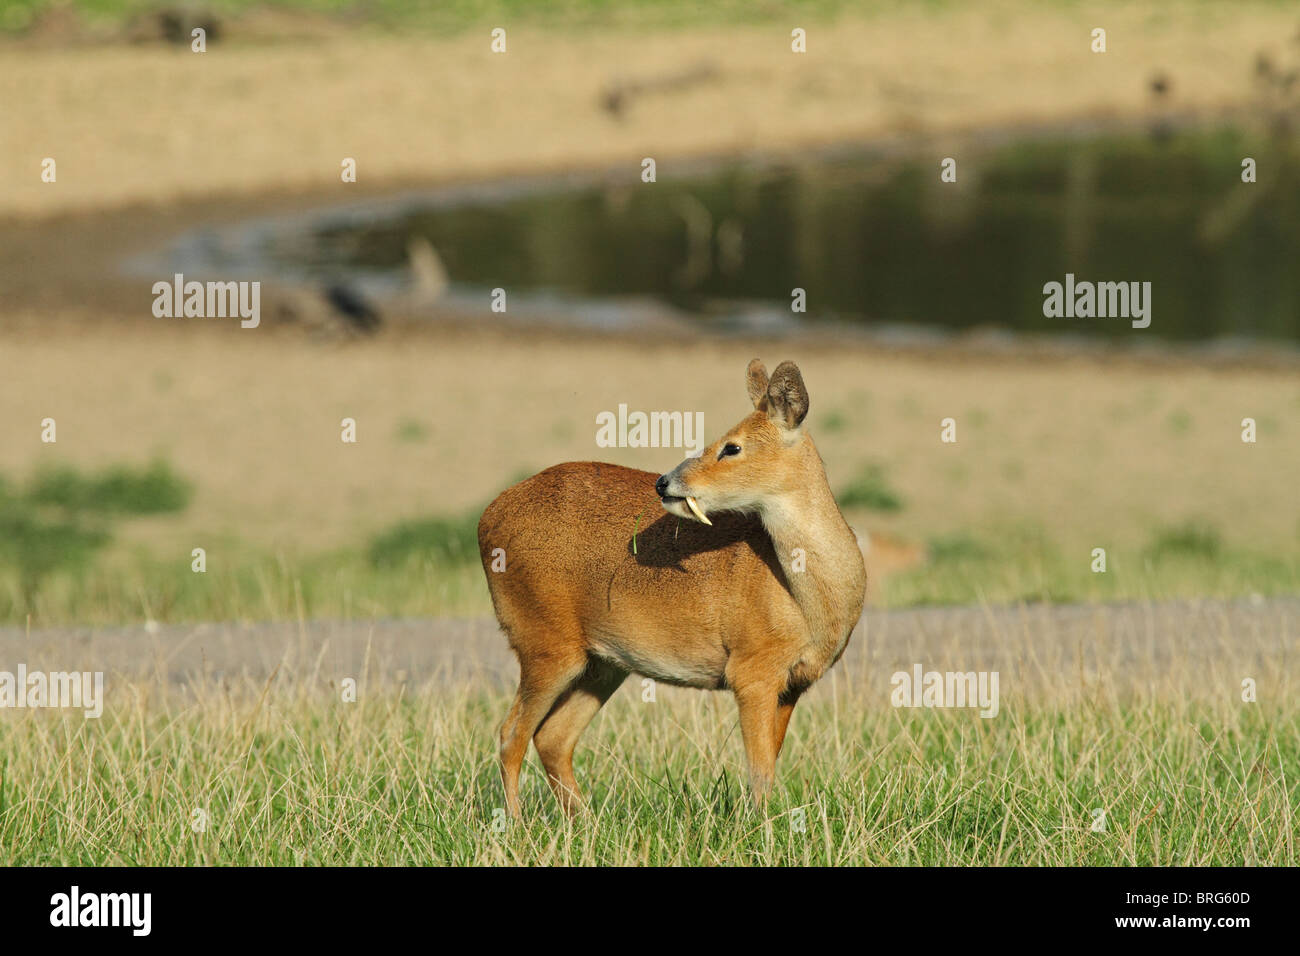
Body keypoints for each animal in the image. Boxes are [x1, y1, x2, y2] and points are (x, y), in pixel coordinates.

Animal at [478, 358, 863, 816]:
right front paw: (760, 826)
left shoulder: (793, 683)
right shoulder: (751, 668)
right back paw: (518, 825)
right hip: (544, 642)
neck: (808, 600)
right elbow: (760, 771)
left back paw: (585, 822)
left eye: (732, 447)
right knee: (510, 734)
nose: (664, 482)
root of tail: (486, 519)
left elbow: (769, 762)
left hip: (601, 663)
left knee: (551, 737)